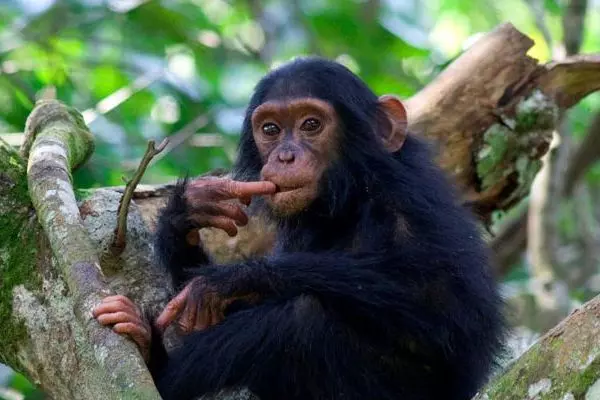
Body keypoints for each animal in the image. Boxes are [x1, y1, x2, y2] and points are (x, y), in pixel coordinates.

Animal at [95, 57, 506, 400]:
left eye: (311, 124)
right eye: (271, 129)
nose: (285, 155)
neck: (350, 198)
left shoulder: (408, 204)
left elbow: (444, 312)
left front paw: (232, 279)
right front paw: (191, 209)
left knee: (299, 322)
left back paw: (154, 359)